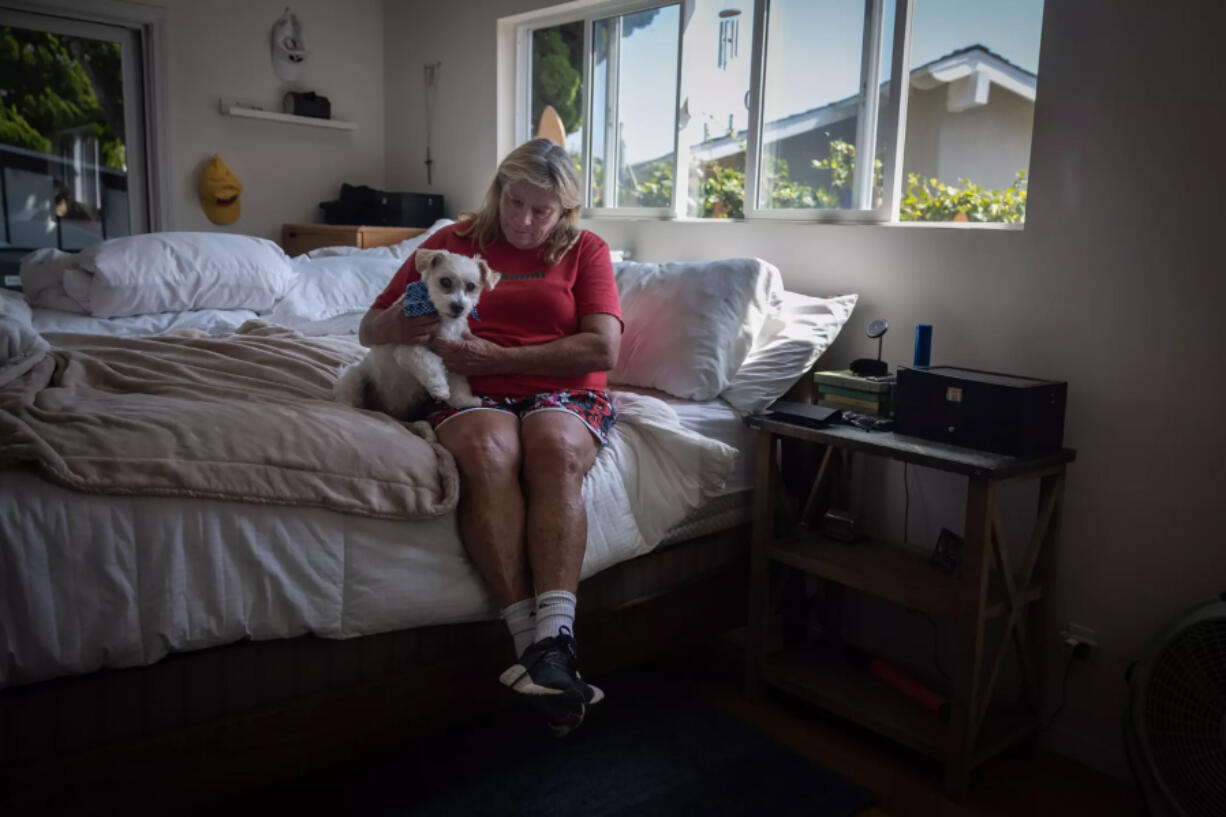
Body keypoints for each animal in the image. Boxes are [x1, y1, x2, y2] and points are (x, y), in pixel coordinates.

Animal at [335, 246, 497, 414]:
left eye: (471, 286)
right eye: (445, 281)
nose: (458, 307)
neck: (442, 319)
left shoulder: (454, 352)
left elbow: (458, 382)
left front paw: (463, 400)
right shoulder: (408, 348)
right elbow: (430, 362)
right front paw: (440, 387)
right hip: (354, 375)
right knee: (348, 396)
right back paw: (348, 407)